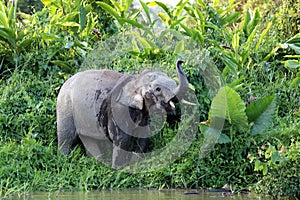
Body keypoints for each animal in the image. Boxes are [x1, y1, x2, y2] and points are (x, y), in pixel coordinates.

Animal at [56, 59, 190, 169]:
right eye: (158, 89)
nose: (180, 61)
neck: (135, 80)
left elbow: (142, 136)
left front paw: (135, 166)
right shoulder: (118, 110)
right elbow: (122, 139)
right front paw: (118, 170)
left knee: (88, 139)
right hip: (65, 107)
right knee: (66, 135)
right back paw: (65, 160)